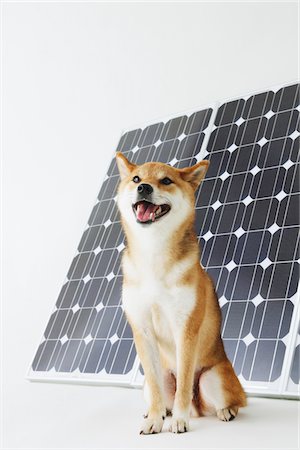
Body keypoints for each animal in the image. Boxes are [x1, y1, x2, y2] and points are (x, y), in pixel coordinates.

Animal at [115, 153, 246, 434]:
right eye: (136, 179)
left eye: (166, 180)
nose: (144, 188)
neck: (153, 256)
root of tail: (199, 410)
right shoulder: (142, 330)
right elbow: (156, 389)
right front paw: (154, 419)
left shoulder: (185, 328)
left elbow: (185, 384)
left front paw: (179, 420)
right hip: (160, 377)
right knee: (158, 389)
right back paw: (161, 411)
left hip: (212, 377)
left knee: (236, 399)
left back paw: (224, 411)